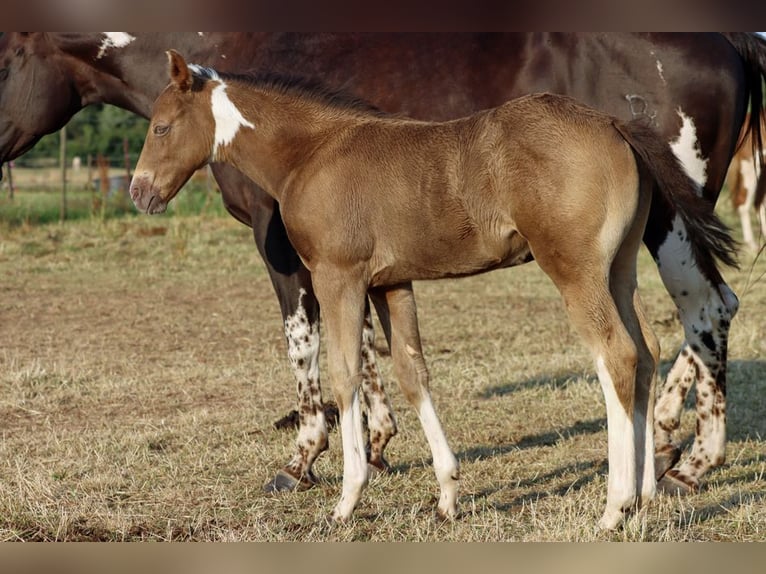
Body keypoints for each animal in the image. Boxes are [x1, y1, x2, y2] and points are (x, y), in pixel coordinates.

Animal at [0, 33, 763, 496]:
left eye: (161, 127)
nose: (140, 193)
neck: (316, 149)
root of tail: (612, 123)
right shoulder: (388, 280)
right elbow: (404, 369)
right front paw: (430, 480)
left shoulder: (320, 271)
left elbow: (329, 366)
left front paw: (326, 471)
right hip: (624, 263)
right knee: (662, 339)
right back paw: (661, 469)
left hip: (587, 267)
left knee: (648, 341)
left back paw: (650, 480)